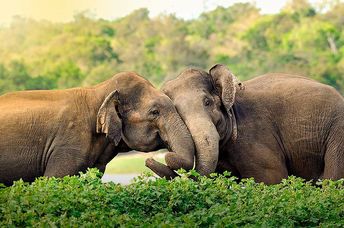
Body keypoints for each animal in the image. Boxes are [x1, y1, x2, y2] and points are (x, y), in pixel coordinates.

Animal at [157, 63, 344, 183]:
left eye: (207, 102)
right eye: (177, 112)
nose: (165, 156)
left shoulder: (256, 137)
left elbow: (271, 179)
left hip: (338, 131)